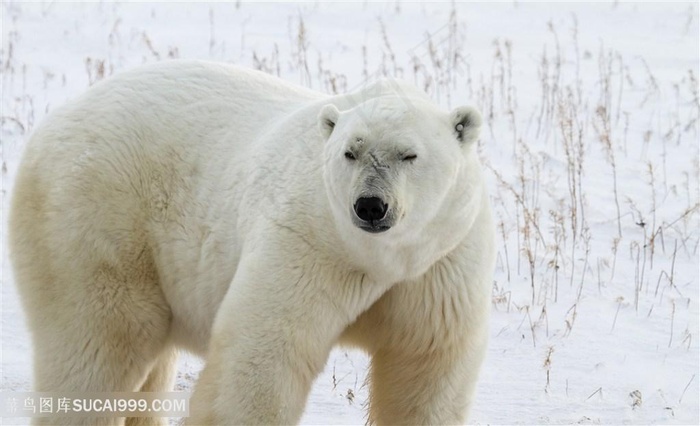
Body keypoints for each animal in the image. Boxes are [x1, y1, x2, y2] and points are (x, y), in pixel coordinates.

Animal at [8, 59, 494, 422]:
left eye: (409, 155)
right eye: (349, 153)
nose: (370, 206)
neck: (379, 259)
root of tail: (52, 122)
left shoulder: (441, 264)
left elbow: (425, 368)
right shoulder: (308, 243)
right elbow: (263, 356)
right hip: (96, 216)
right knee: (99, 344)